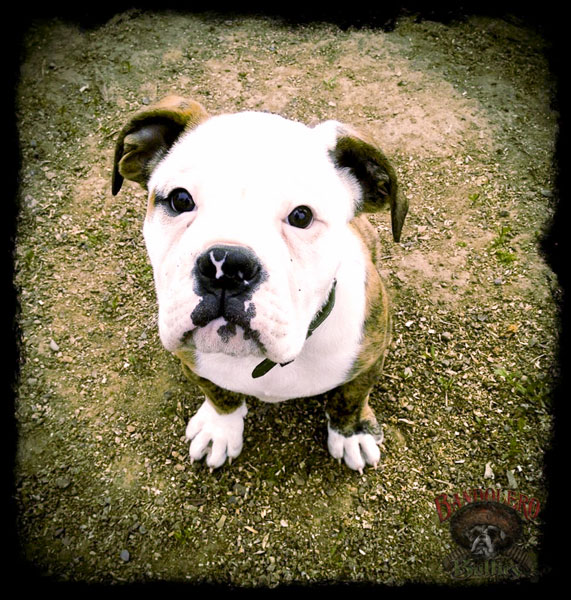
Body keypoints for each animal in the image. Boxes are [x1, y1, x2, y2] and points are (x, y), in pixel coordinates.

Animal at [112, 96, 408, 472]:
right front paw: (220, 428)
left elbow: (350, 397)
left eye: (301, 216)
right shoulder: (193, 363)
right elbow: (219, 394)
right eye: (180, 200)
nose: (226, 266)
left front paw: (351, 432)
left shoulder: (370, 358)